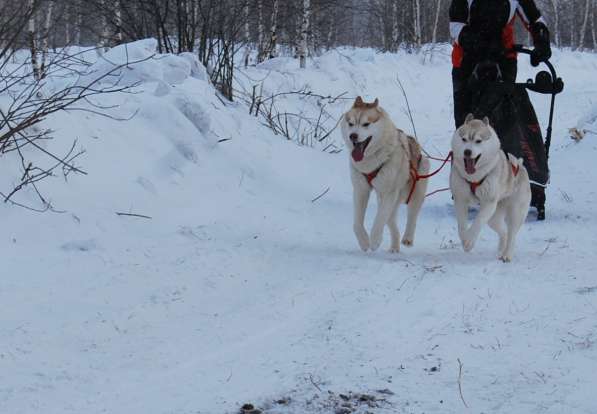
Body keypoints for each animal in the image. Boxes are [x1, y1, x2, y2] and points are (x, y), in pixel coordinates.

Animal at [340, 97, 428, 252]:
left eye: (366, 124)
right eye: (351, 123)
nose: (353, 136)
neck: (372, 160)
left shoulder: (389, 193)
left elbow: (380, 218)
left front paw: (375, 240)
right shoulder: (360, 190)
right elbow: (357, 223)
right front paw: (364, 242)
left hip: (415, 190)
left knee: (411, 215)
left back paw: (407, 238)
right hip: (388, 200)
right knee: (391, 221)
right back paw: (394, 247)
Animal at [452, 114, 532, 262]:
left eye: (478, 141)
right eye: (464, 139)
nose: (467, 152)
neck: (474, 178)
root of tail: (520, 166)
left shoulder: (488, 203)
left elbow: (478, 221)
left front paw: (469, 241)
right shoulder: (460, 199)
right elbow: (461, 225)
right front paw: (464, 238)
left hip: (515, 213)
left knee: (512, 234)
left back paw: (507, 254)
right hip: (494, 218)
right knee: (504, 231)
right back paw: (501, 249)